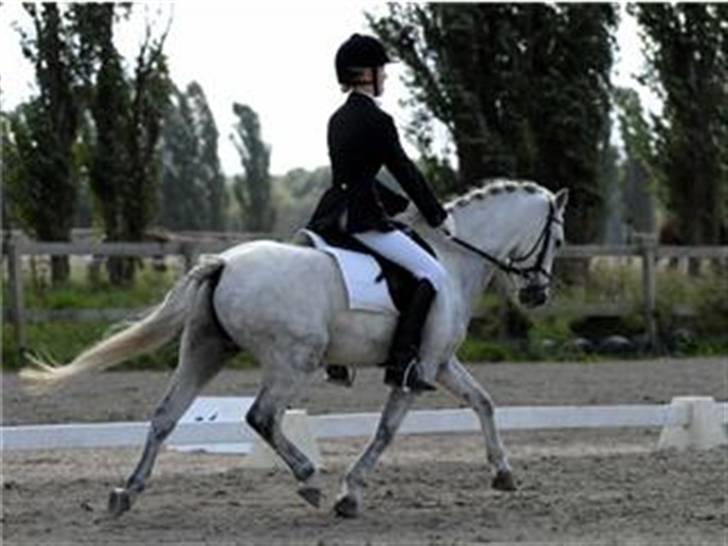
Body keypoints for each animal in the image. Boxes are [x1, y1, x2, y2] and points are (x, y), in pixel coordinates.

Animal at [21, 179, 568, 518]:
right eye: (558, 239)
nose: (538, 295)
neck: (452, 259)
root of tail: (223, 263)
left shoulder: (442, 362)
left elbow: (483, 402)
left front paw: (504, 474)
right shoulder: (423, 365)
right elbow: (387, 430)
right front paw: (350, 493)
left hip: (206, 350)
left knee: (164, 416)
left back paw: (126, 492)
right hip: (293, 361)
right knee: (262, 416)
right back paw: (308, 479)